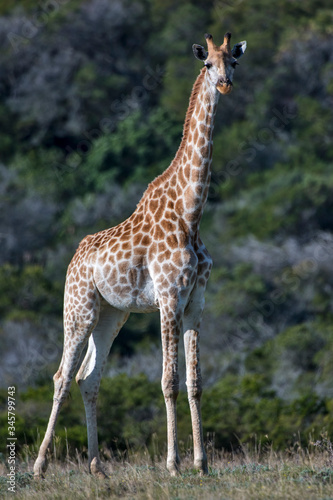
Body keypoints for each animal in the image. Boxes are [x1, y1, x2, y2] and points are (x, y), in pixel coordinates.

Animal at [33, 32, 245, 480]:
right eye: (207, 64)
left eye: (233, 62)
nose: (224, 85)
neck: (190, 214)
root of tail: (74, 258)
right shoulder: (167, 296)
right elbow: (168, 380)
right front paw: (174, 465)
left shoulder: (196, 301)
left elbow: (195, 382)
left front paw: (201, 463)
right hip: (78, 308)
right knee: (61, 376)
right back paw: (40, 467)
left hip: (112, 315)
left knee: (88, 378)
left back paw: (97, 466)